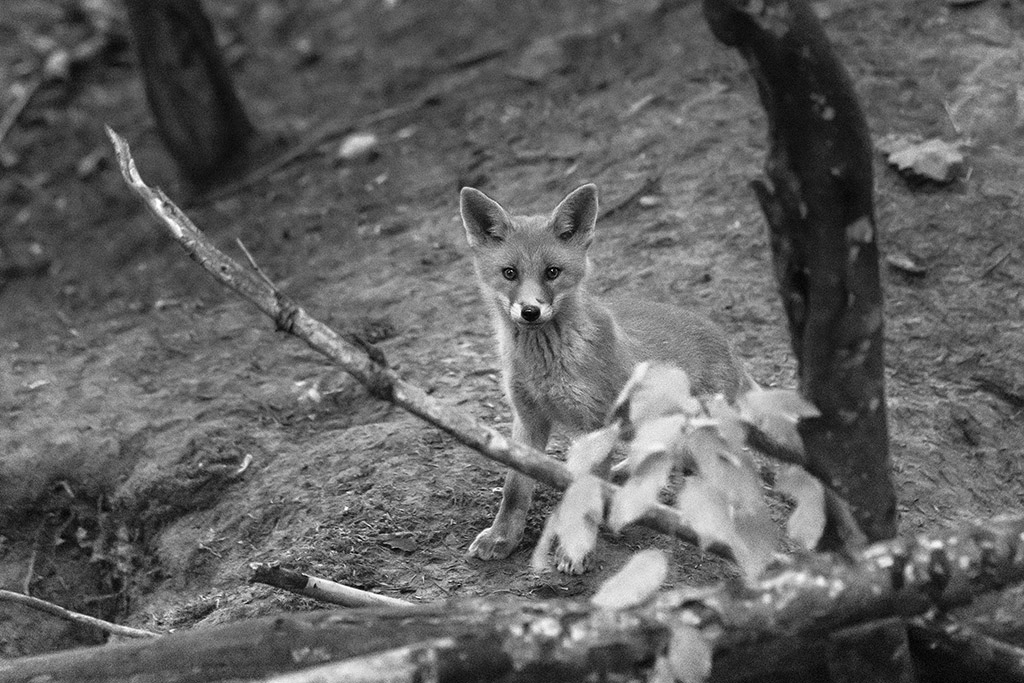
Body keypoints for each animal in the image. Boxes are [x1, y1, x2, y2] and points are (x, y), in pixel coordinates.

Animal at [458, 183, 753, 573]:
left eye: (552, 272)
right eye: (509, 273)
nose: (531, 311)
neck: (546, 363)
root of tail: (728, 342)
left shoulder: (594, 424)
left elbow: (584, 497)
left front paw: (575, 551)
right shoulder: (528, 416)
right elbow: (514, 488)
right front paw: (502, 538)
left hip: (698, 440)